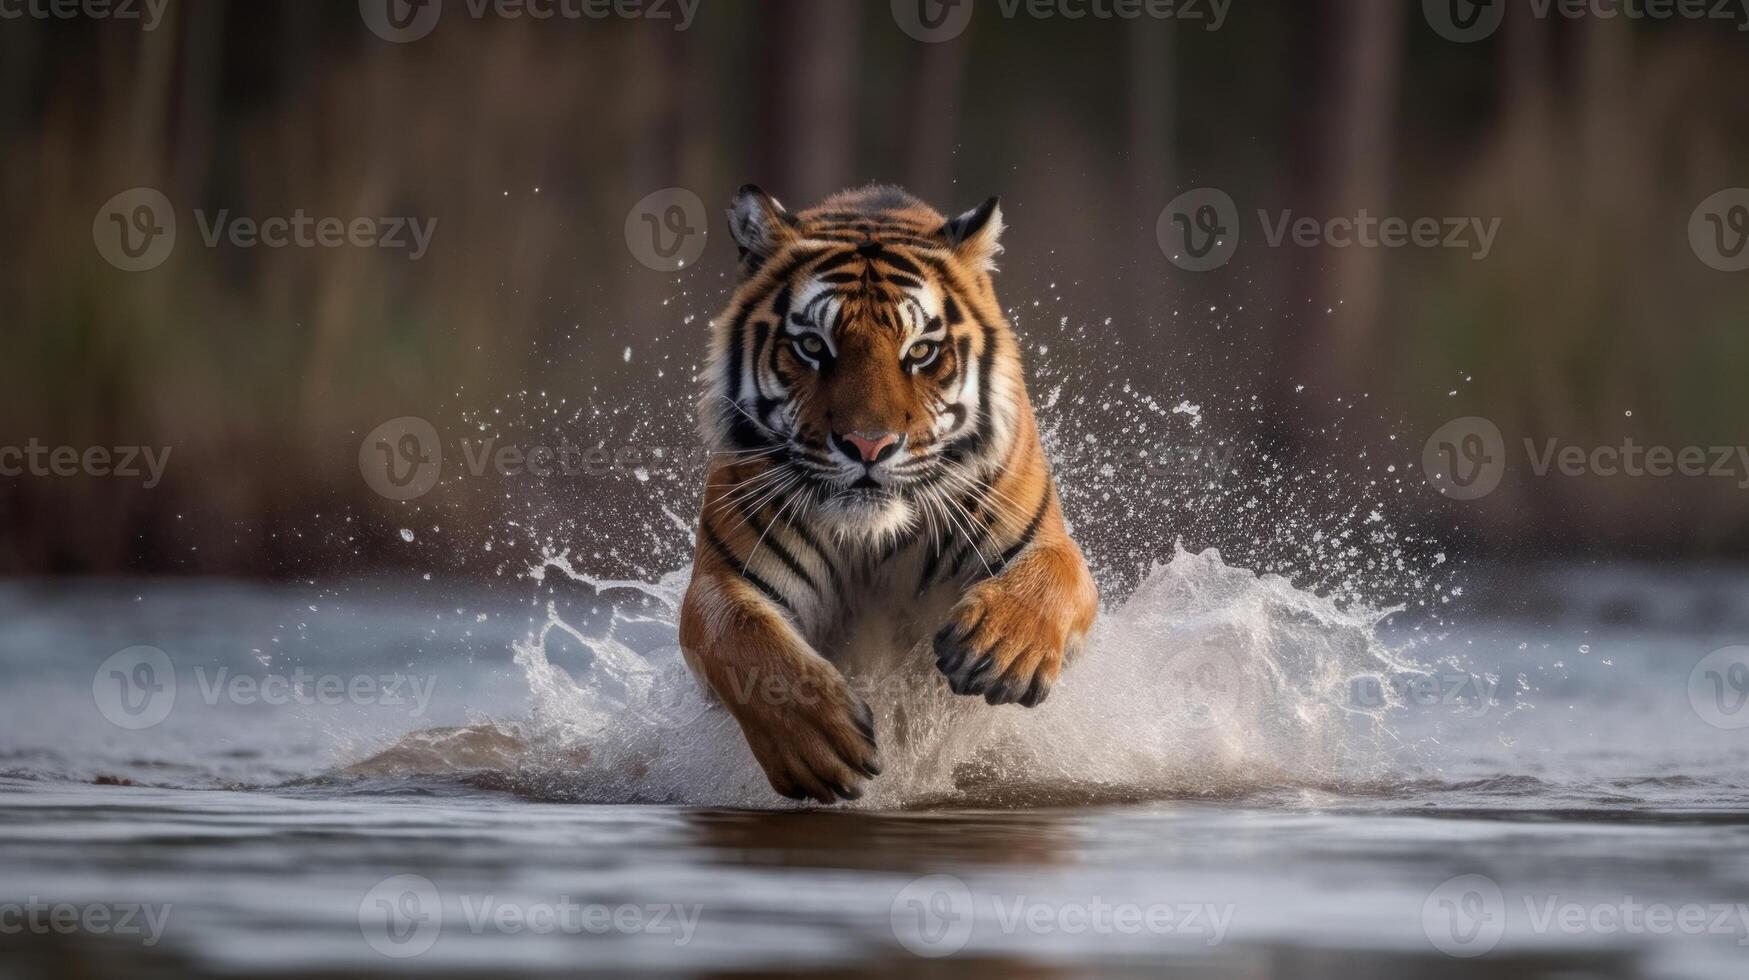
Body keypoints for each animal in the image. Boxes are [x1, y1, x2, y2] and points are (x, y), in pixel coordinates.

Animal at [678, 183, 1098, 805]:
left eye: (920, 351)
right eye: (812, 346)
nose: (868, 445)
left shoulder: (1042, 537)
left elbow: (1056, 572)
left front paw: (1000, 650)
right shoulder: (723, 577)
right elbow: (737, 633)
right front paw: (814, 741)